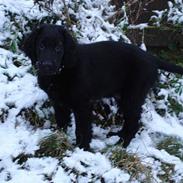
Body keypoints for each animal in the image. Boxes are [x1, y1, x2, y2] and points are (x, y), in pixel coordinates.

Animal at [21, 24, 183, 150]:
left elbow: (83, 129)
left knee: (133, 123)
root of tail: (151, 57)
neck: (61, 72)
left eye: (58, 48)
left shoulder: (82, 105)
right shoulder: (59, 103)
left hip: (133, 96)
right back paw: (118, 136)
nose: (47, 66)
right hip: (122, 97)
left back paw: (121, 145)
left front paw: (82, 149)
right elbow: (62, 124)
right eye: (41, 46)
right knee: (129, 120)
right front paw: (59, 142)